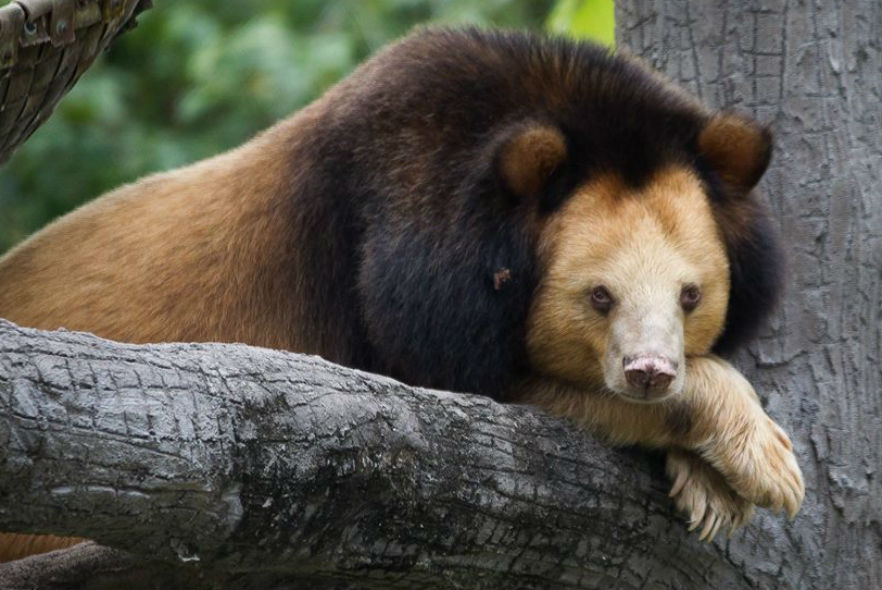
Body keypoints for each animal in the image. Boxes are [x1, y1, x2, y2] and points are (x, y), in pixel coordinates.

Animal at [0, 27, 800, 560]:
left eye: (691, 295)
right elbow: (465, 385)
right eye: (598, 296)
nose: (649, 373)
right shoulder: (401, 270)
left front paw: (710, 485)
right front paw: (764, 464)